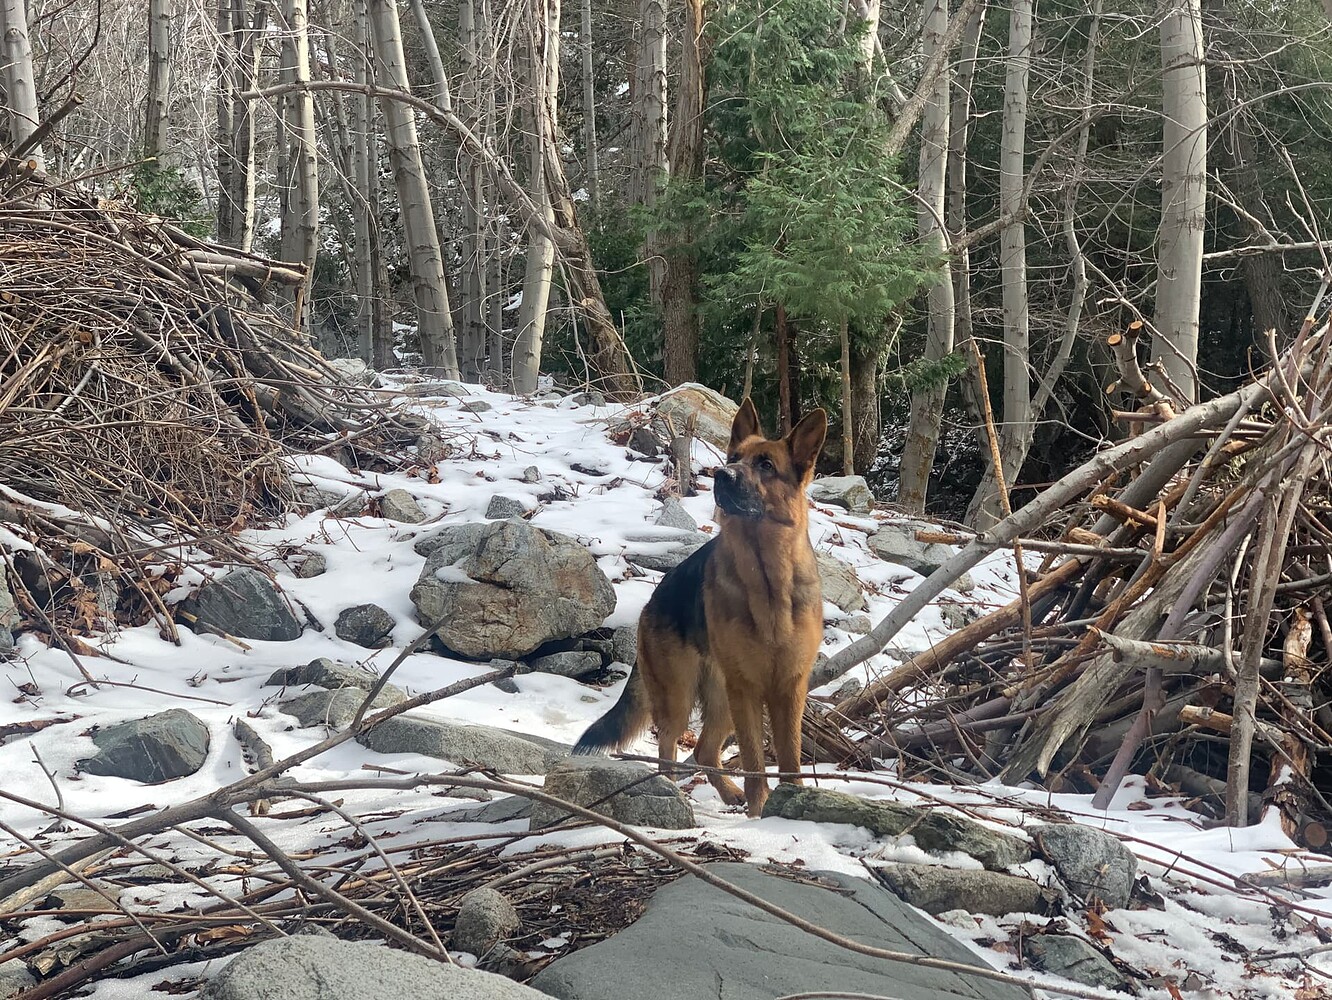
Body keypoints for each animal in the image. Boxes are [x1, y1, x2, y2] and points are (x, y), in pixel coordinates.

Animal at [572, 399, 820, 814]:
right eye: (734, 457)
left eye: (766, 464)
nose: (721, 474)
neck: (768, 580)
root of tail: (652, 600)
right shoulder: (747, 689)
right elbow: (754, 763)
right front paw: (760, 813)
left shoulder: (790, 688)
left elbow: (790, 760)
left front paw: (788, 806)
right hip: (681, 695)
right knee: (668, 746)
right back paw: (671, 792)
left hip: (721, 701)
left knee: (704, 750)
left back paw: (727, 792)